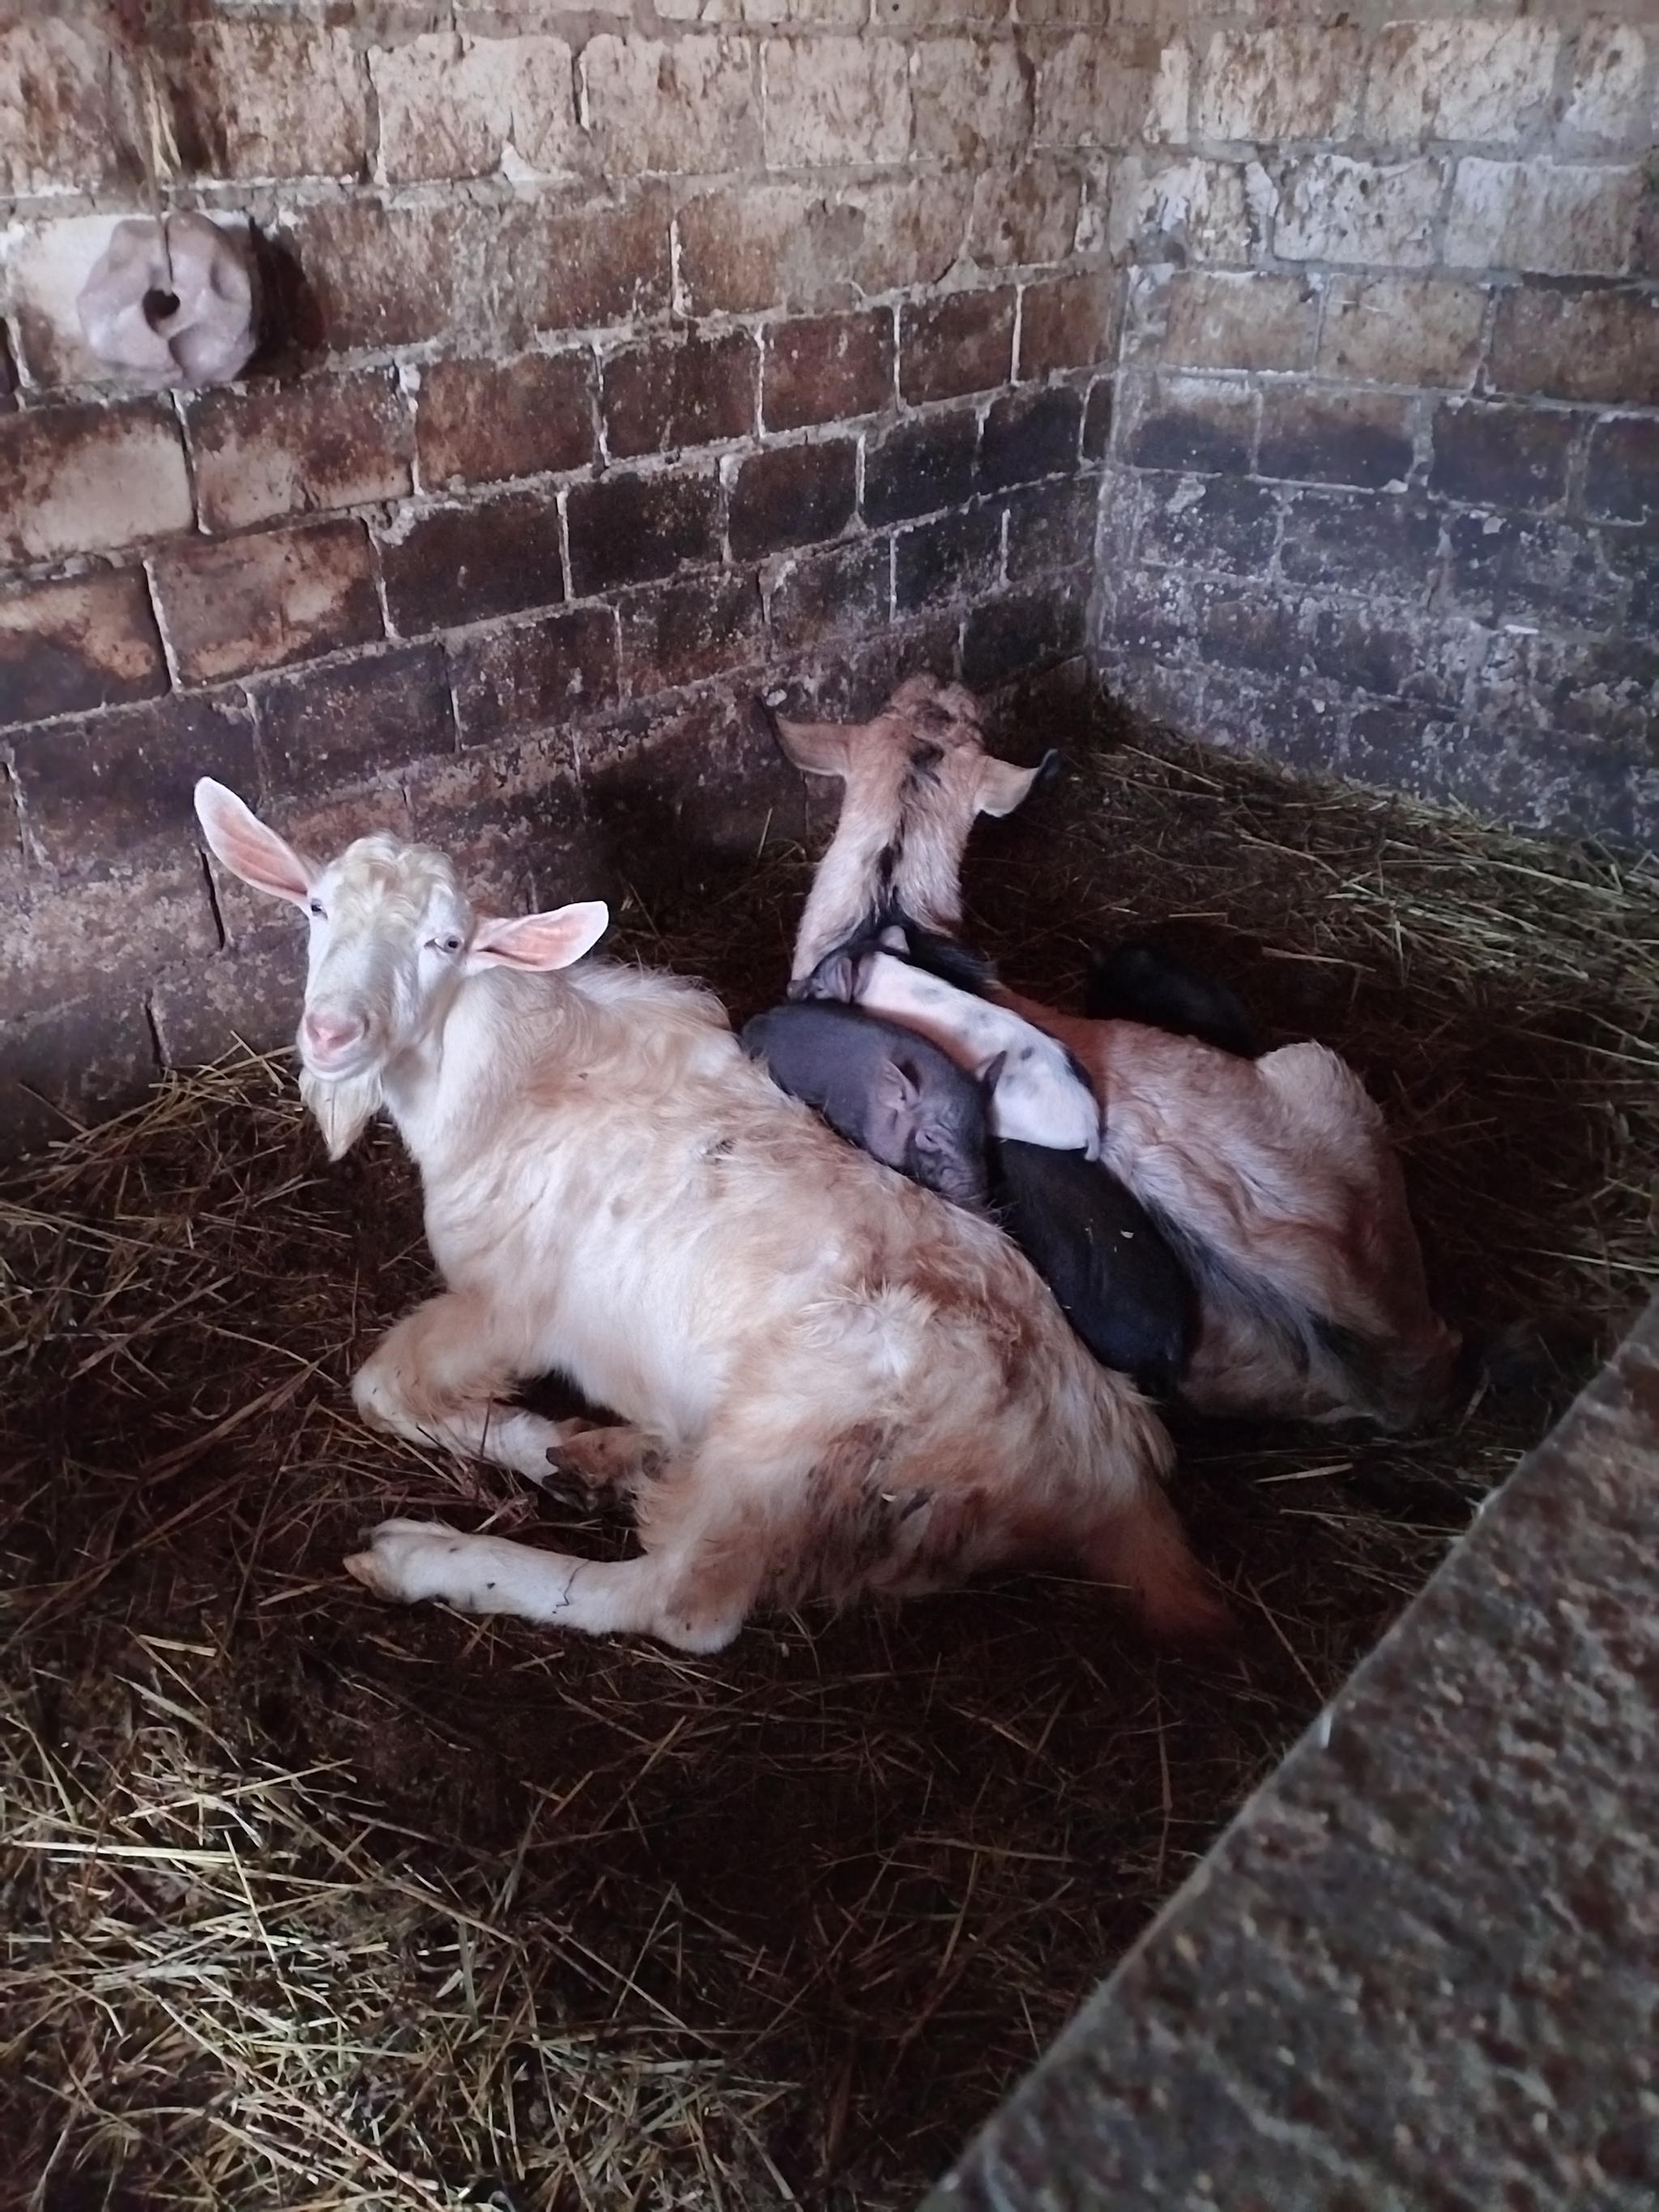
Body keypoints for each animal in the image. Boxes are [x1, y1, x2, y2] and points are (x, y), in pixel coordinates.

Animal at [198, 769, 1239, 1654]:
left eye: (443, 943)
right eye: (315, 907)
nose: (333, 1031)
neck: (508, 1076)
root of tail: (1108, 1464)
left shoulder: (508, 1304)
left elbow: (382, 1387)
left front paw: (526, 1447)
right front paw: (568, 1450)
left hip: (787, 1441)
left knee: (676, 1603)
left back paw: (434, 1553)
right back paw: (611, 1453)